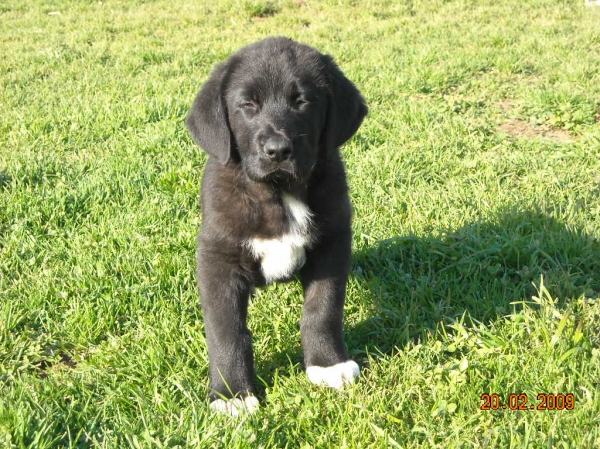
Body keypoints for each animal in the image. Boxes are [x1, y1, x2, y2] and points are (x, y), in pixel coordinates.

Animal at [185, 36, 368, 414]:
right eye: (247, 105)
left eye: (303, 101)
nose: (277, 150)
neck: (278, 191)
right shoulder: (217, 257)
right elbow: (227, 331)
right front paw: (231, 395)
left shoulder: (332, 241)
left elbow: (323, 309)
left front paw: (327, 363)